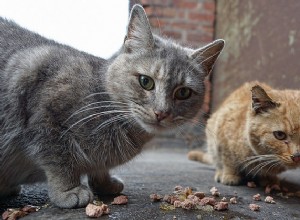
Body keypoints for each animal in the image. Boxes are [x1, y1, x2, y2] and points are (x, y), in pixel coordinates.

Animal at [0, 4, 225, 208]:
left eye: (183, 92)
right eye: (145, 81)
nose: (161, 112)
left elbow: (98, 169)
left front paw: (105, 183)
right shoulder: (45, 119)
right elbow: (59, 161)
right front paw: (69, 190)